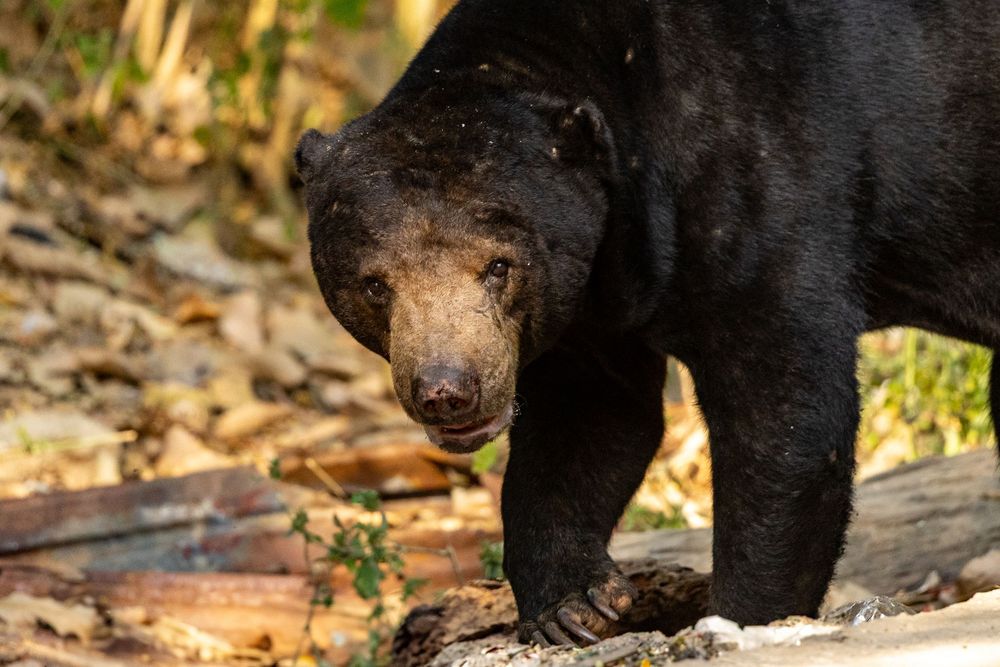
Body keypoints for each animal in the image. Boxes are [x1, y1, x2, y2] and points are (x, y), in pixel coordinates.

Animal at [295, 0, 1000, 647]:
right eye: (375, 284)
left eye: (498, 266)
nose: (447, 392)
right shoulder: (588, 305)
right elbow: (592, 421)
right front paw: (574, 606)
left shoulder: (764, 190)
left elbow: (788, 416)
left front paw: (738, 618)